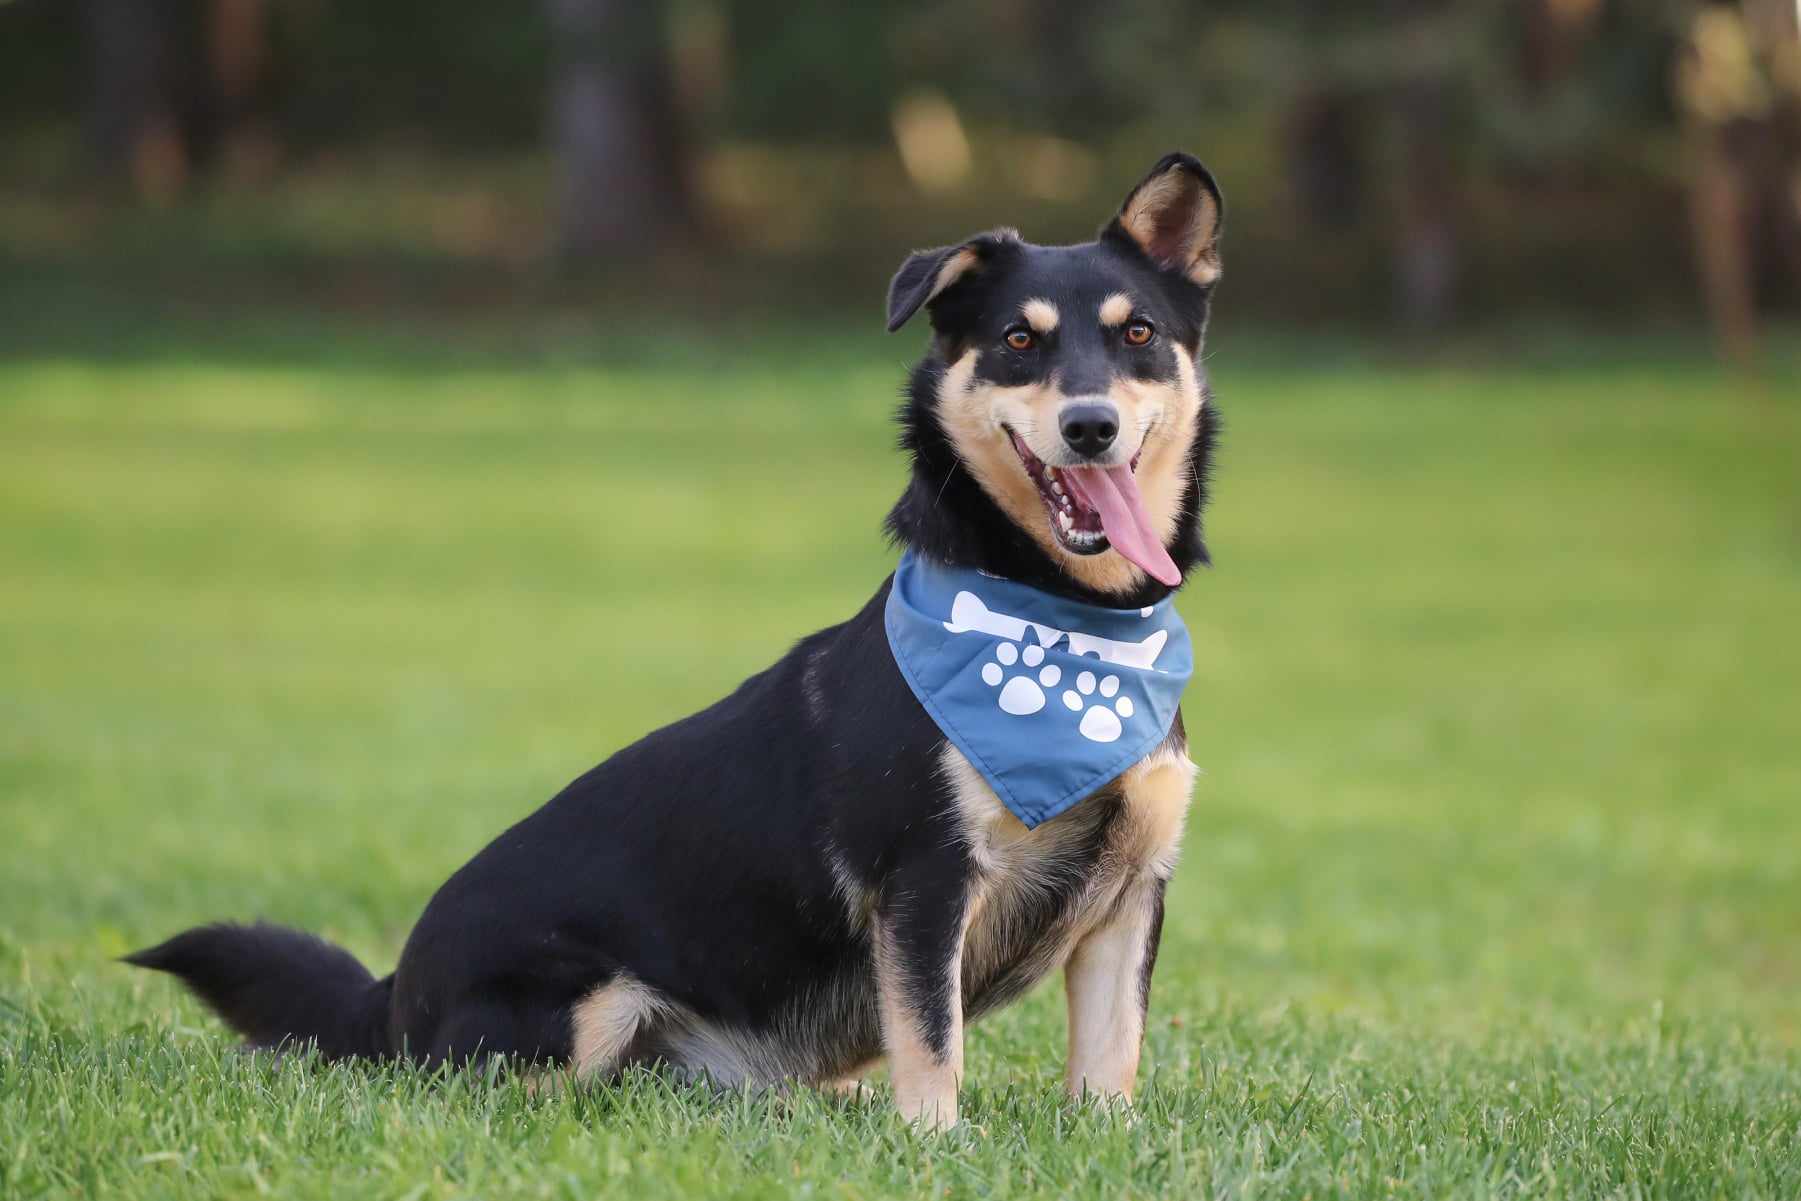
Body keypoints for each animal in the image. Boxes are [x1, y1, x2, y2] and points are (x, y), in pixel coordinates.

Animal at [127, 152, 1224, 1130]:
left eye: (1136, 334)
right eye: (1016, 341)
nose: (1089, 426)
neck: (1062, 620)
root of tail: (389, 991)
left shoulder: (1132, 895)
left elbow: (1110, 1056)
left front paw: (1104, 1137)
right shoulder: (922, 878)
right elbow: (931, 1035)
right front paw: (935, 1141)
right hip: (587, 1003)